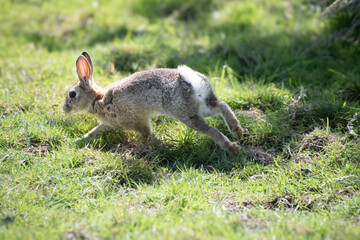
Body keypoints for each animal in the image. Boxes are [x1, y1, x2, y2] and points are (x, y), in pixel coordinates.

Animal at [63, 51, 243, 155]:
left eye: (72, 94)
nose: (64, 108)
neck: (98, 99)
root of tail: (192, 81)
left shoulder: (137, 122)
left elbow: (146, 134)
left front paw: (141, 149)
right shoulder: (109, 124)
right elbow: (94, 131)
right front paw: (77, 141)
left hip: (187, 115)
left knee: (212, 130)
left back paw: (233, 148)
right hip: (202, 106)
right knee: (222, 105)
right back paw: (237, 130)